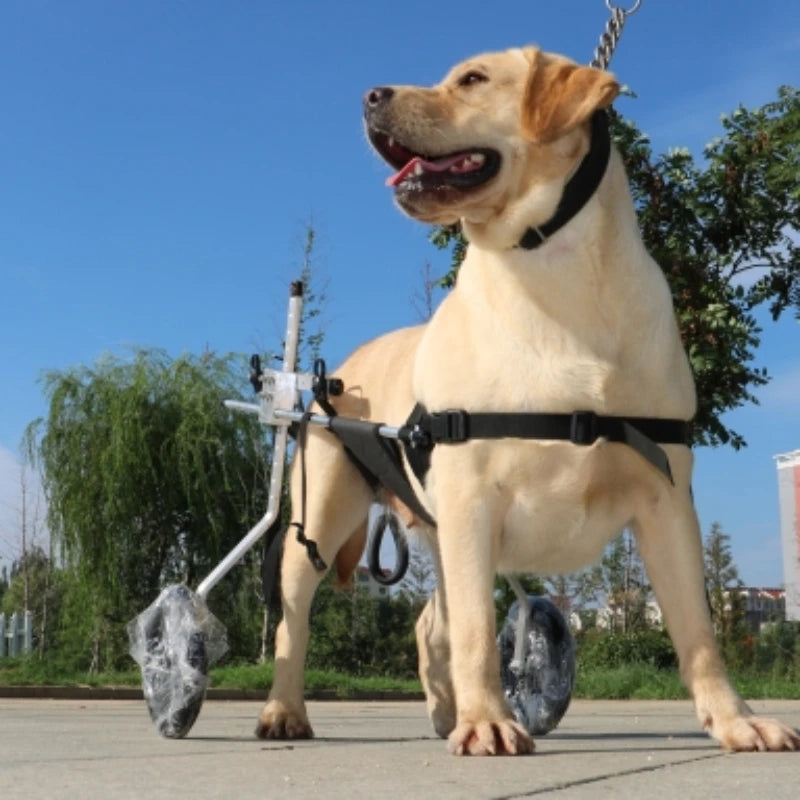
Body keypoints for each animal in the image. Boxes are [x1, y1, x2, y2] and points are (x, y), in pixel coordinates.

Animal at [258, 48, 800, 756]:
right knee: (295, 619)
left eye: (472, 80)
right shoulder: (472, 499)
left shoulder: (667, 498)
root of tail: (338, 371)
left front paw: (736, 721)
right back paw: (285, 712)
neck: (555, 278)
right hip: (322, 517)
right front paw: (489, 720)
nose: (370, 95)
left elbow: (700, 632)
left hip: (438, 531)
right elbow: (477, 633)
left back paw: (444, 712)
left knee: (431, 621)